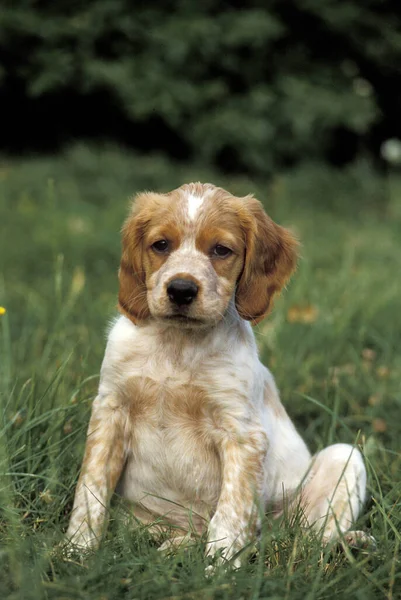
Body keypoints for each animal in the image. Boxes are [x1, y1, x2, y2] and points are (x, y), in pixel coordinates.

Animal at [66, 182, 372, 564]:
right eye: (161, 245)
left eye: (221, 250)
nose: (181, 290)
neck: (178, 346)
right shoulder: (110, 412)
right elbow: (89, 493)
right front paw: (73, 553)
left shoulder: (242, 435)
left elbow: (230, 514)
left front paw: (219, 570)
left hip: (344, 458)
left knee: (307, 540)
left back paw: (353, 543)